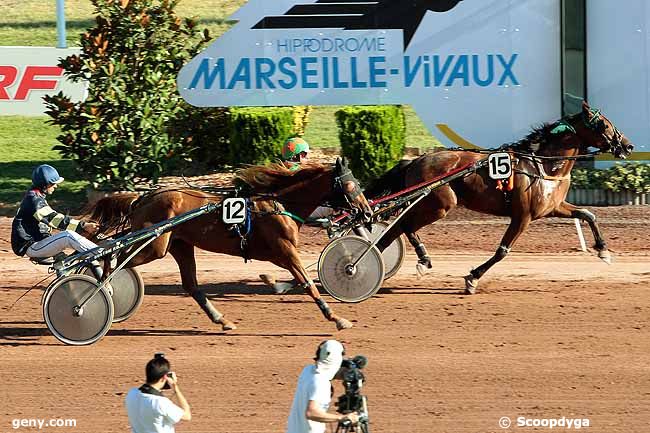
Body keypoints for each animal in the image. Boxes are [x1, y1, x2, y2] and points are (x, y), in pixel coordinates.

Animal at [87, 157, 370, 330]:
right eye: (349, 185)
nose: (366, 212)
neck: (279, 204)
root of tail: (143, 198)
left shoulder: (280, 254)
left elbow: (301, 279)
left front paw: (275, 283)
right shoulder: (285, 250)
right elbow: (309, 284)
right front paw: (337, 318)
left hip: (178, 245)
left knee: (191, 286)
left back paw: (222, 320)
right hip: (153, 245)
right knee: (113, 257)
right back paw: (101, 288)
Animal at [364, 100, 632, 294]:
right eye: (604, 125)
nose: (627, 146)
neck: (544, 166)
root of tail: (416, 160)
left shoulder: (552, 207)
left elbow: (588, 214)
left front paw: (604, 251)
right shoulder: (523, 216)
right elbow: (503, 251)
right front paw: (472, 278)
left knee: (401, 228)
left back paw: (408, 260)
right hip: (439, 205)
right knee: (402, 226)